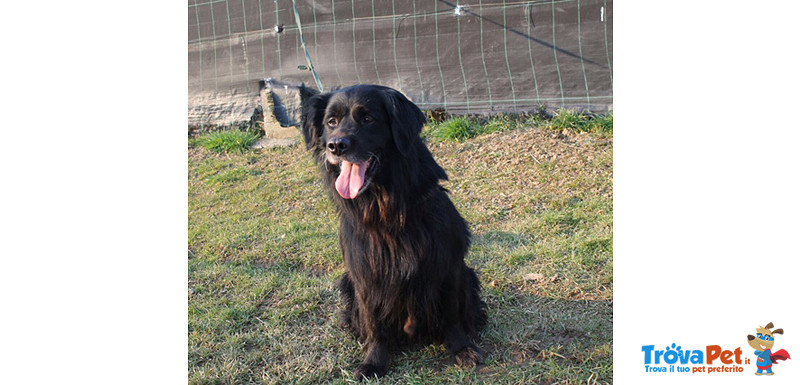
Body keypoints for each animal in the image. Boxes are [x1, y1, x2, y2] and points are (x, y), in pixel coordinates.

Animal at [302, 85, 484, 378]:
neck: (387, 209)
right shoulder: (366, 272)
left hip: (469, 275)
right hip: (347, 284)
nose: (336, 145)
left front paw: (461, 348)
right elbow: (374, 322)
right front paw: (374, 360)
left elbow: (451, 313)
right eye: (331, 122)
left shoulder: (448, 264)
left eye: (368, 119)